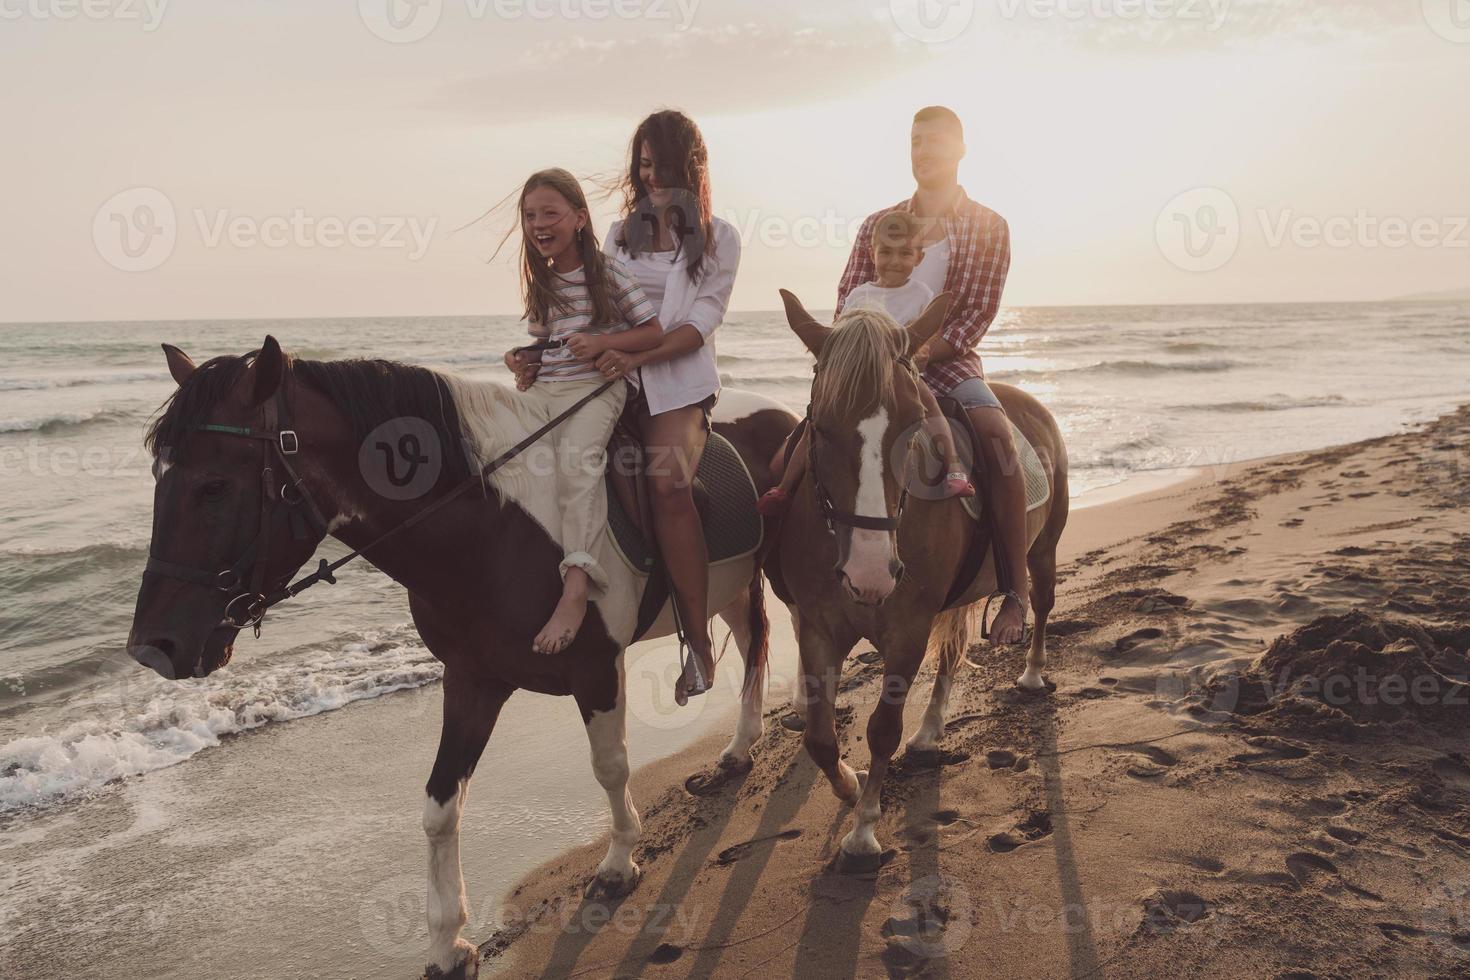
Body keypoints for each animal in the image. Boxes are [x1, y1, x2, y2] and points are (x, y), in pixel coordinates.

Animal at [124, 339, 793, 980]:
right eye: (157, 478)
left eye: (214, 485)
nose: (152, 648)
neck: (491, 533)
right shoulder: (472, 680)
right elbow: (439, 807)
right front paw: (447, 943)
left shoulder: (597, 670)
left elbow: (610, 767)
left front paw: (619, 861)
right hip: (728, 586)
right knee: (753, 640)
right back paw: (739, 749)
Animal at [770, 295, 1070, 869]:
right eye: (820, 425)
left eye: (913, 426)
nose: (869, 573)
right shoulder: (818, 628)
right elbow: (819, 738)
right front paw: (849, 783)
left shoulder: (907, 629)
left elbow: (882, 729)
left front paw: (864, 832)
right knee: (951, 655)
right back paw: (930, 732)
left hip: (1041, 550)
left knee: (1041, 603)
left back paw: (1031, 672)